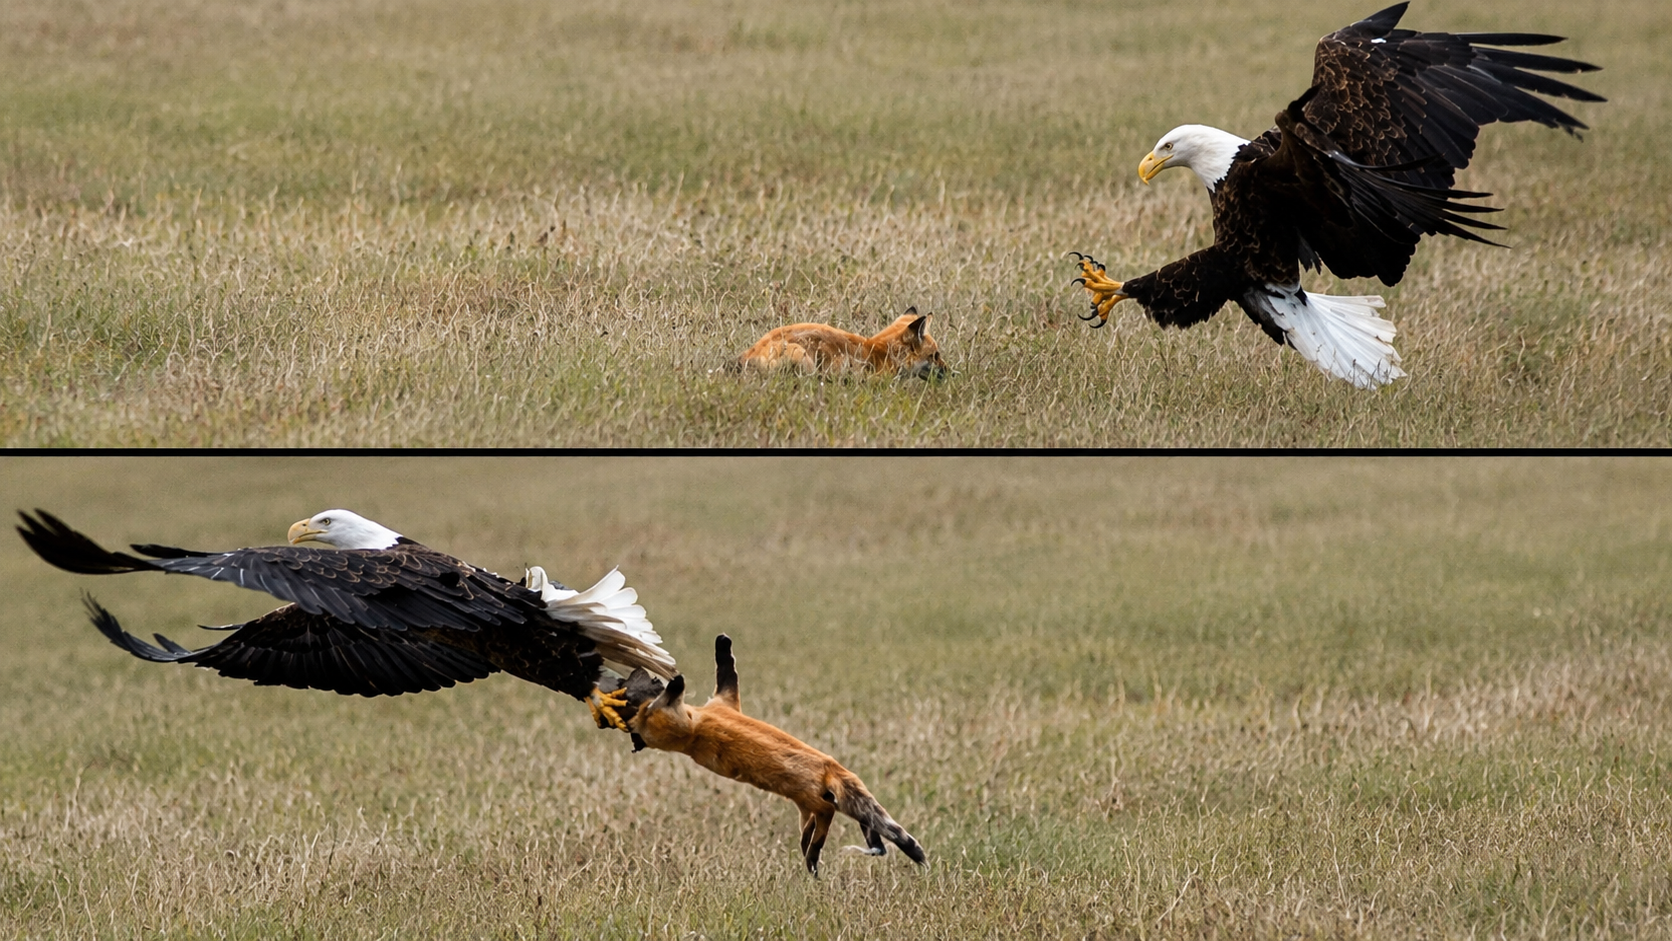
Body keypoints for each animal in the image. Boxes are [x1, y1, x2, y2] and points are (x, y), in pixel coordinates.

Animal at [623, 635, 927, 875]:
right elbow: (727, 673)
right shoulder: (723, 703)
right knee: (874, 834)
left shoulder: (684, 719)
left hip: (816, 803)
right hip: (840, 806)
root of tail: (830, 767)